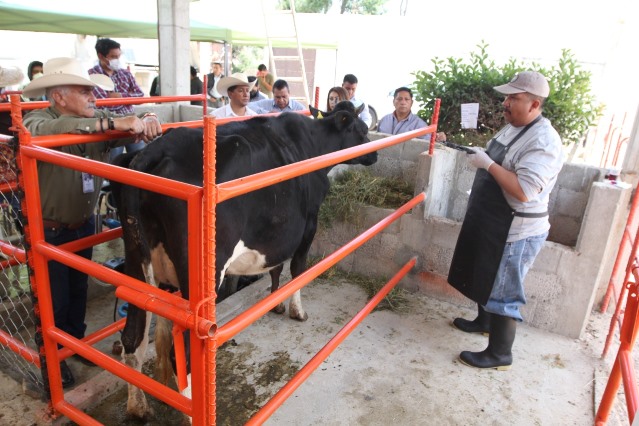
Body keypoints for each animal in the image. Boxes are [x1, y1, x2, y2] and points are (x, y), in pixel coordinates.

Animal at [110, 101, 377, 420]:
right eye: (362, 129)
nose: (375, 154)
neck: (313, 142)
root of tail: (152, 152)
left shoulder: (274, 233)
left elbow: (275, 267)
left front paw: (275, 301)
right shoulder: (309, 223)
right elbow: (297, 269)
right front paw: (297, 311)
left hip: (137, 261)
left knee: (133, 340)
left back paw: (138, 406)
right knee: (181, 355)